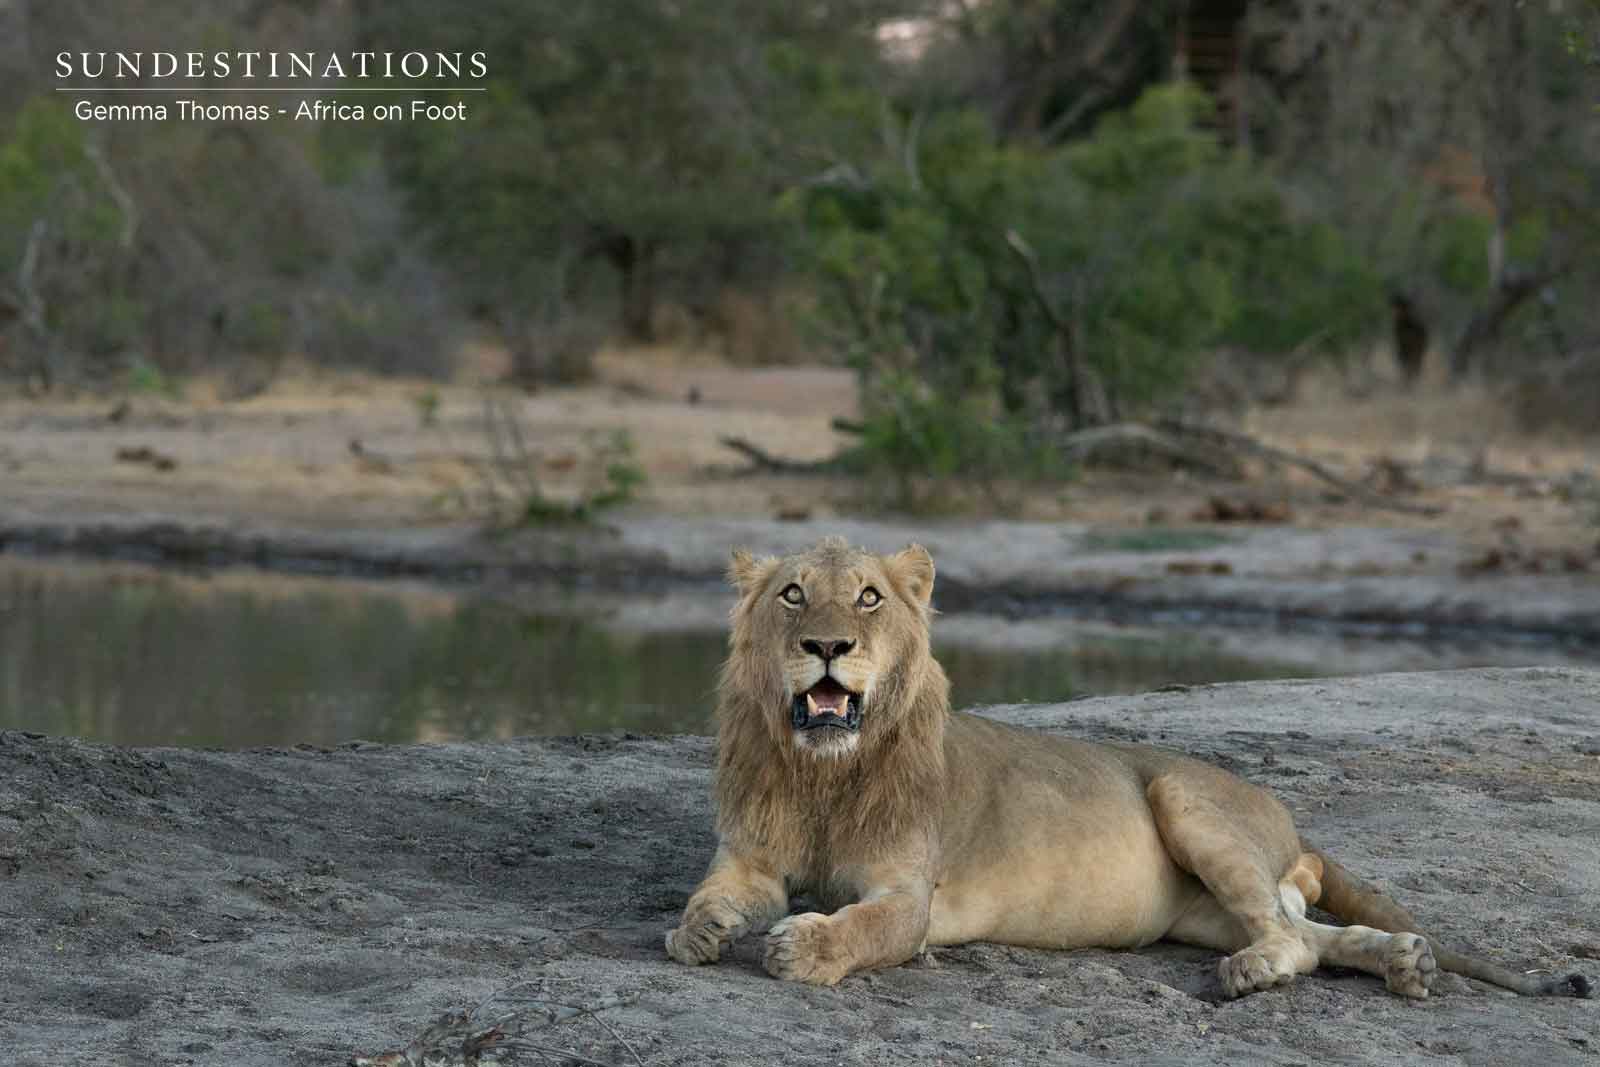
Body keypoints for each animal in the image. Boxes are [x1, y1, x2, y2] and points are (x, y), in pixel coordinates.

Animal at [665, 537, 1593, 999]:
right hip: (1203, 911)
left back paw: (1258, 975)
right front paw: (697, 929)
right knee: (1316, 934)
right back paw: (1406, 960)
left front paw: (802, 945)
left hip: (1185, 797)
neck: (823, 773)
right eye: (792, 594)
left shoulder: (910, 892)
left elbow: (860, 928)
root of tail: (1290, 819)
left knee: (1292, 940)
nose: (827, 645)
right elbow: (710, 895)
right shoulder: (749, 854)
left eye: (867, 597)